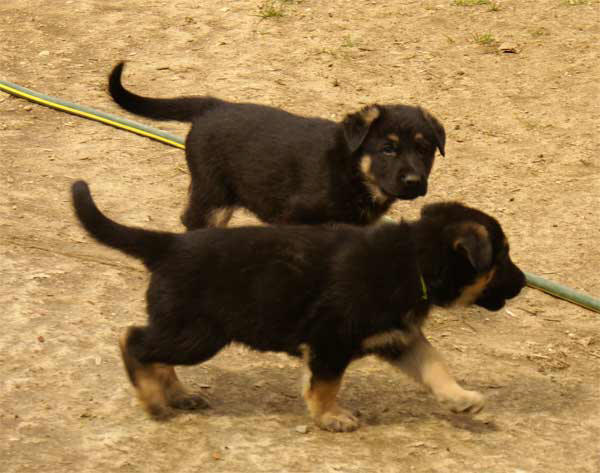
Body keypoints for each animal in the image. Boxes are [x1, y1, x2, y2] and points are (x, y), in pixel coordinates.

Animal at [70, 181, 524, 432]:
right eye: (502, 257)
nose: (522, 283)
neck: (413, 259)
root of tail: (168, 245)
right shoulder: (332, 341)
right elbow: (326, 385)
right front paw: (329, 418)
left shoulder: (398, 337)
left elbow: (435, 364)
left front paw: (460, 398)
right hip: (198, 334)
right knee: (133, 340)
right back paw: (151, 399)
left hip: (184, 330)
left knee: (154, 350)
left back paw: (179, 394)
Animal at [108, 62, 446, 229]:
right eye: (388, 149)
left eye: (424, 150)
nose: (414, 181)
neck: (353, 173)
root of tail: (213, 106)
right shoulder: (295, 218)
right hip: (213, 192)